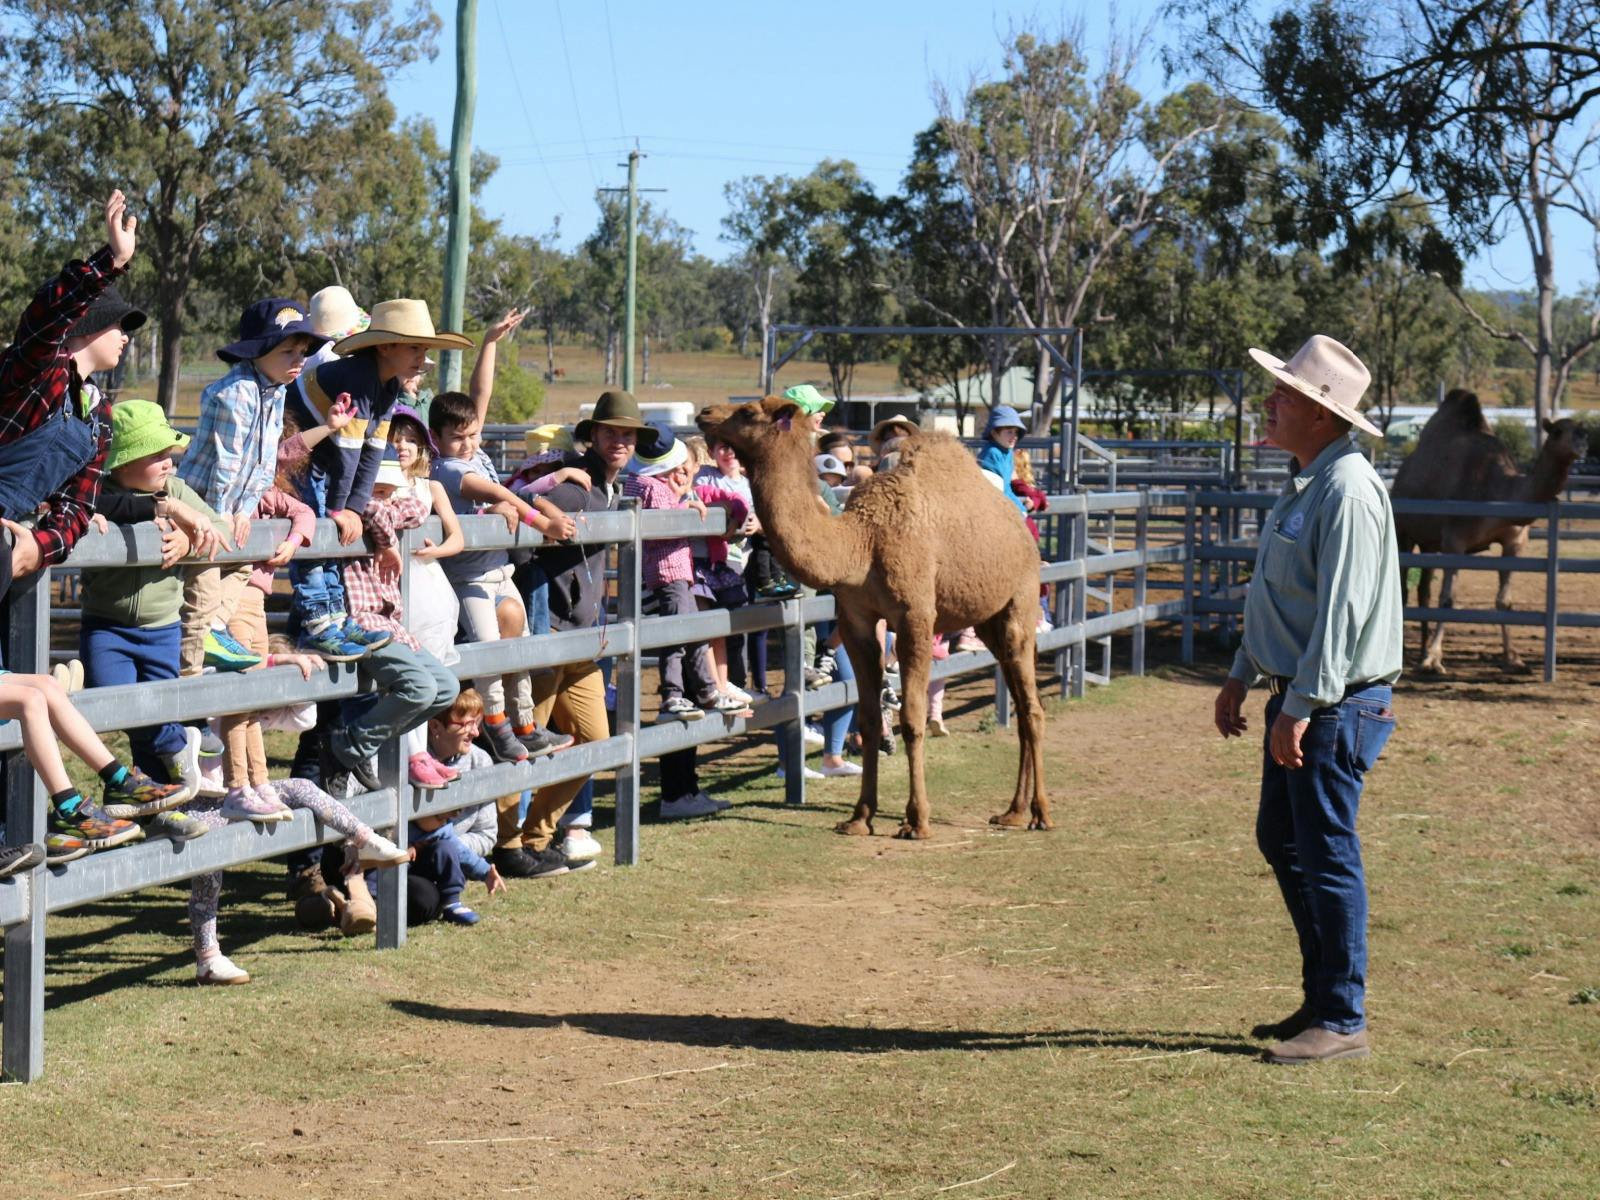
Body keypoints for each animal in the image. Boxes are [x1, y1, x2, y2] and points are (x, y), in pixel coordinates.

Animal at [696, 396, 1049, 839]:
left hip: (1021, 601)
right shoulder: (856, 620)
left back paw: (1040, 813)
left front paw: (916, 820)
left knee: (1032, 707)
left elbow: (911, 718)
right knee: (1020, 702)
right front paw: (860, 817)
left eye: (747, 412)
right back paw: (1012, 811)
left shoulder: (916, 617)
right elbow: (866, 718)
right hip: (989, 620)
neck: (862, 542)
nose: (705, 414)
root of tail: (1022, 528)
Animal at [1391, 388, 1587, 673]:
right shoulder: (1454, 541)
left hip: (1429, 542)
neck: (1497, 488)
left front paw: (1514, 658)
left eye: (1582, 429)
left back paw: (1419, 650)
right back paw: (1406, 651)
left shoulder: (1514, 542)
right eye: (1558, 430)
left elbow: (1503, 601)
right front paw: (1434, 660)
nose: (1583, 439)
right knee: (1404, 587)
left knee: (1423, 589)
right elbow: (1447, 599)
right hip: (1402, 531)